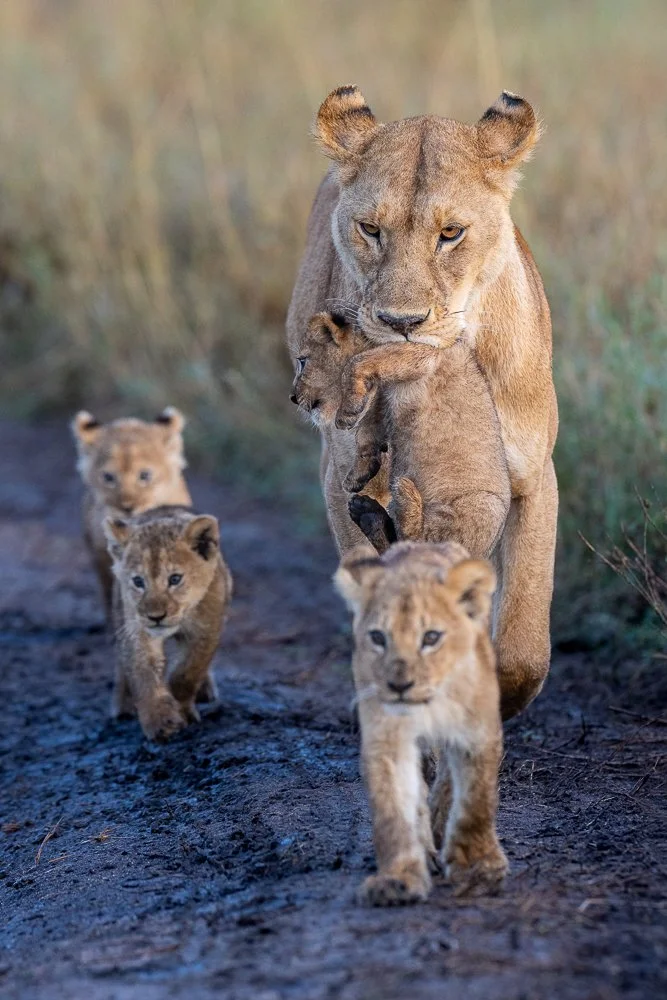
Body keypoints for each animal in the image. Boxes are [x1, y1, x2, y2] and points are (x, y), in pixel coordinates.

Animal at [104, 505, 232, 742]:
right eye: (138, 581)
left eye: (175, 579)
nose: (156, 617)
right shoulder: (137, 630)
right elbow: (144, 674)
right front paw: (161, 721)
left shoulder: (206, 631)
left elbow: (188, 672)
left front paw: (182, 707)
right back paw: (121, 704)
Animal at [287, 86, 558, 720]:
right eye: (370, 229)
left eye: (451, 233)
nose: (401, 323)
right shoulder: (342, 475)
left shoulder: (533, 477)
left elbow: (524, 643)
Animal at [335, 540, 508, 906]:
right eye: (378, 637)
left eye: (431, 637)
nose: (400, 685)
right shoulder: (387, 739)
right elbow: (393, 809)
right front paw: (398, 879)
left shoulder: (476, 732)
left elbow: (476, 801)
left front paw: (479, 870)